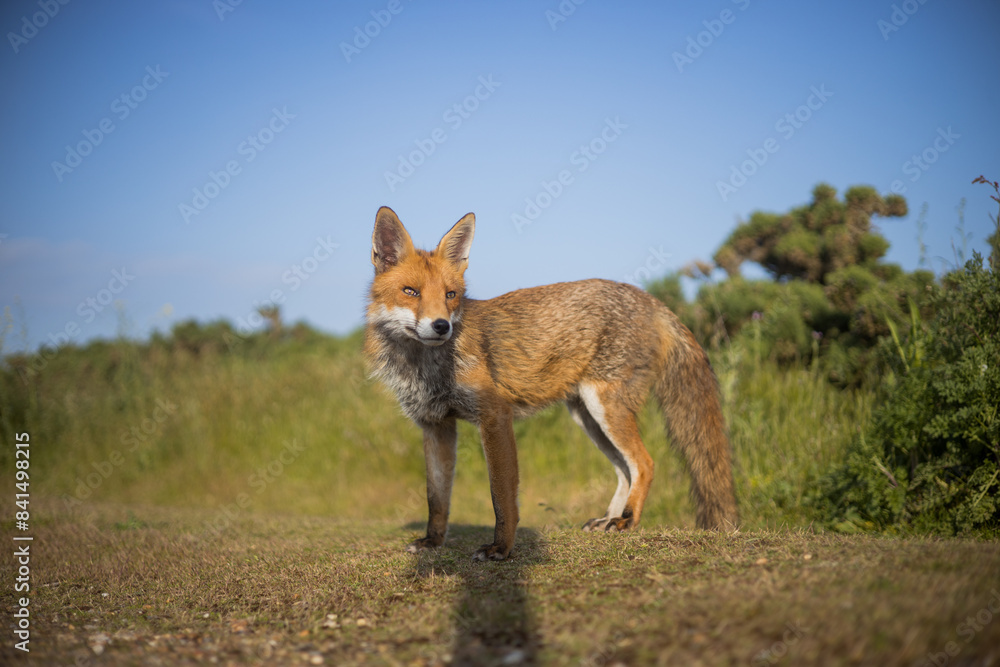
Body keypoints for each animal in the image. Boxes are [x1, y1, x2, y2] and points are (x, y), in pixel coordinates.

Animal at [364, 206, 739, 561]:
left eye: (450, 295)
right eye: (410, 292)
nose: (442, 326)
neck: (425, 367)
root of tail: (650, 299)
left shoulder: (495, 416)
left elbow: (501, 494)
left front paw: (501, 548)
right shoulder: (436, 425)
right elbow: (437, 496)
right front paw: (433, 541)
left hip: (605, 407)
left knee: (644, 464)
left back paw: (628, 520)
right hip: (588, 417)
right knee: (624, 470)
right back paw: (609, 519)